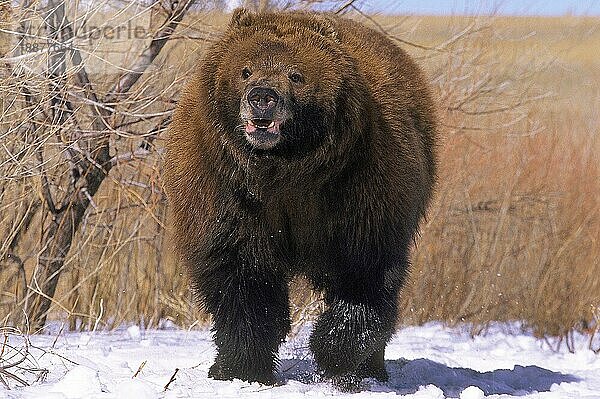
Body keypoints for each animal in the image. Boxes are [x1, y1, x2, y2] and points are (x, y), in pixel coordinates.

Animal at [164, 7, 436, 392]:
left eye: (296, 75)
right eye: (245, 69)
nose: (262, 97)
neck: (284, 170)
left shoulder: (358, 190)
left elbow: (366, 272)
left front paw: (332, 352)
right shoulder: (227, 193)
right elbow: (242, 279)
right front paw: (240, 368)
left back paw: (372, 371)